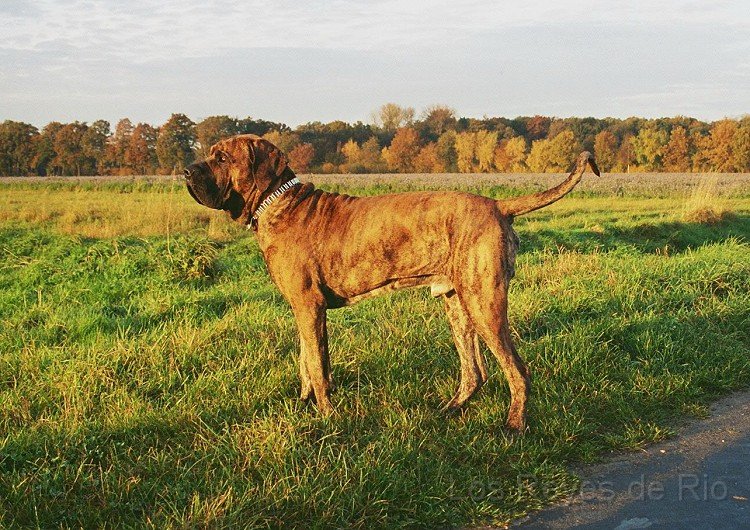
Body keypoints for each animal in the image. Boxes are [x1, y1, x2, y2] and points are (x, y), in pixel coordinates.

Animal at [185, 133, 604, 428]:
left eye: (222, 158)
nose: (187, 172)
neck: (277, 201)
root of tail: (498, 204)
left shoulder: (309, 305)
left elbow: (318, 366)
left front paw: (327, 418)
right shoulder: (301, 309)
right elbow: (306, 359)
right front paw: (305, 404)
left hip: (484, 302)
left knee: (517, 370)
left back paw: (514, 425)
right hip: (458, 305)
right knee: (475, 372)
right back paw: (450, 409)